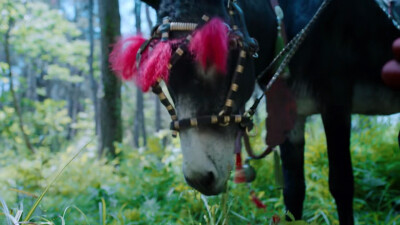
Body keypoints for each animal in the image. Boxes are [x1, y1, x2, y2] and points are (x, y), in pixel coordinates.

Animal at [111, 0, 400, 224]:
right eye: (163, 76)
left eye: (218, 54)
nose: (199, 179)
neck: (285, 19)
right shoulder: (291, 115)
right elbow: (293, 189)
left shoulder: (336, 100)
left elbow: (341, 184)